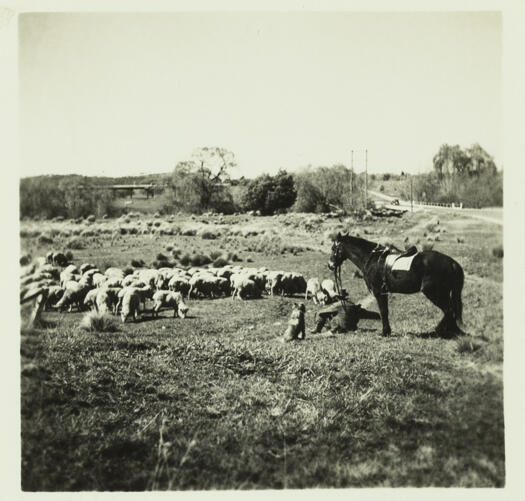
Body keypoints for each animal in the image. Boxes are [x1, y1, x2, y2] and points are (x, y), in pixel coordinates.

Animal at [328, 233, 462, 336]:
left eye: (334, 248)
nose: (330, 265)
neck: (372, 259)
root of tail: (452, 263)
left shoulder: (378, 292)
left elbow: (383, 311)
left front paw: (385, 332)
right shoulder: (383, 292)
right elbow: (385, 311)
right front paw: (387, 331)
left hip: (433, 293)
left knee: (448, 310)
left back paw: (439, 330)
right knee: (451, 311)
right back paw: (453, 331)